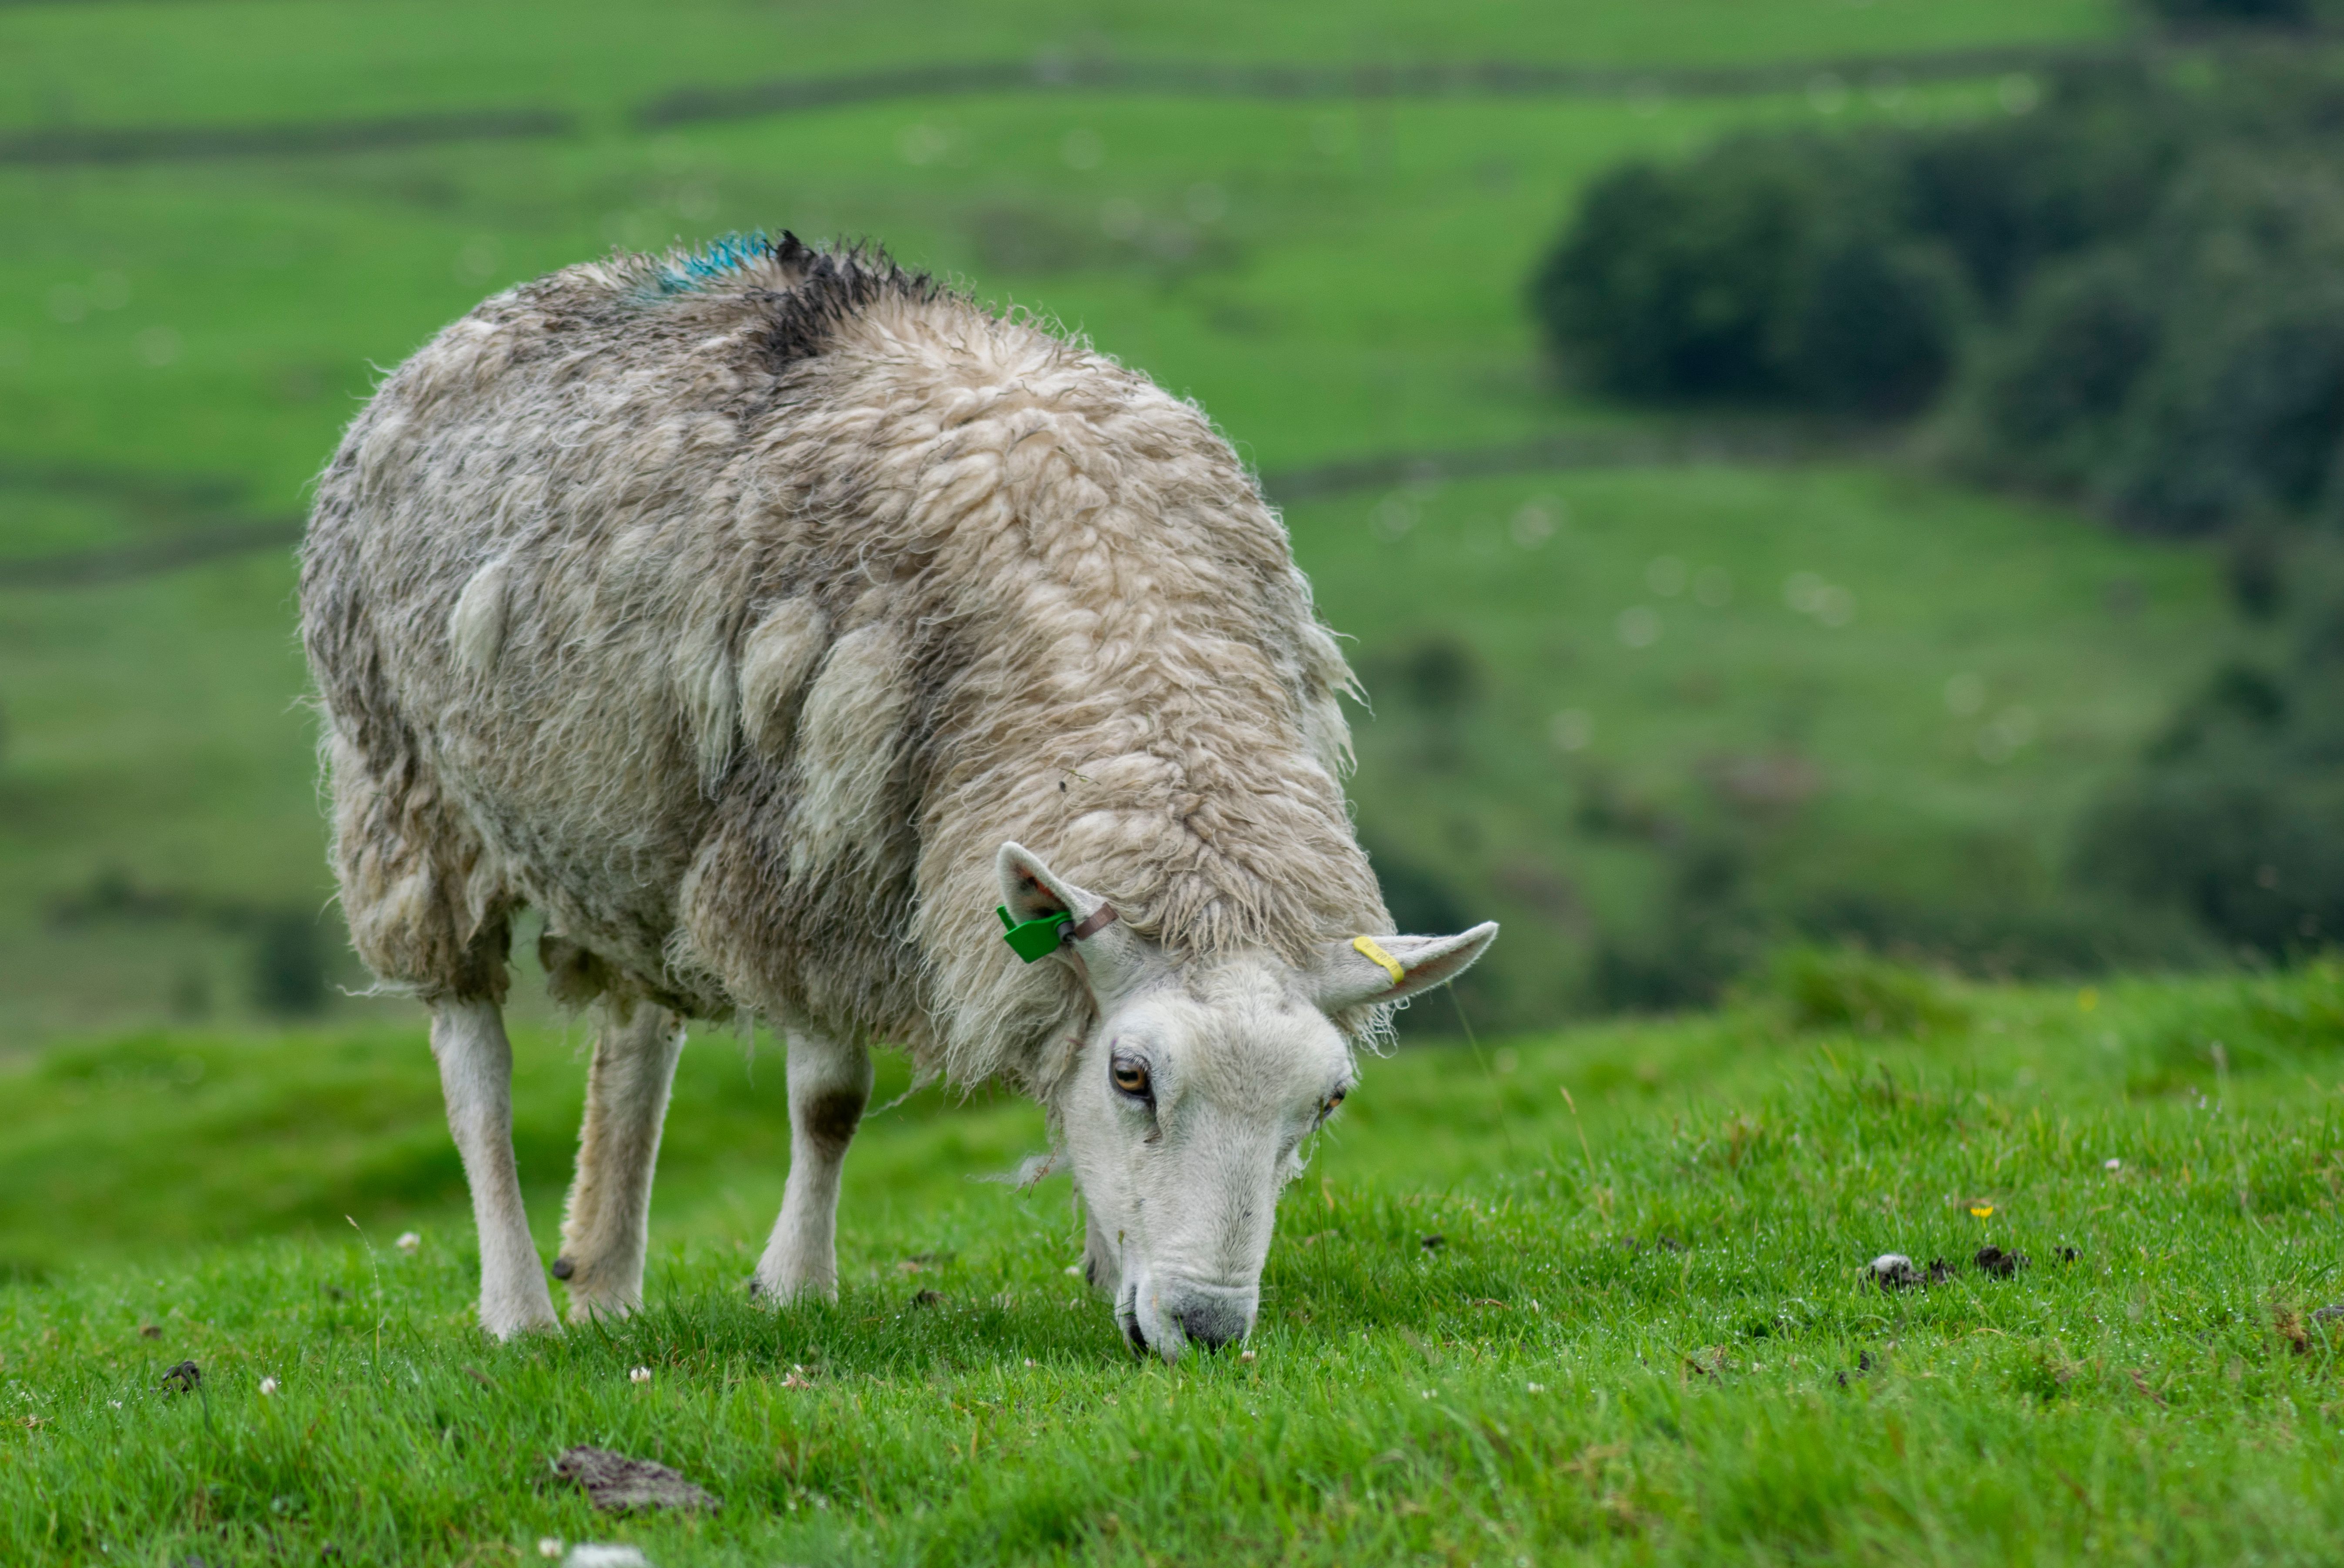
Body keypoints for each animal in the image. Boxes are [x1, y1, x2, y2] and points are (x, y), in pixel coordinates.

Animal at [298, 233, 1495, 1358]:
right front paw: (797, 1287)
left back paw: (603, 1279)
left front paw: (1106, 1264)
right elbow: (829, 1100)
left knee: (636, 1038)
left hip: (627, 823)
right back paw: (520, 1309)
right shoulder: (812, 852)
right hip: (407, 791)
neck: (1117, 608)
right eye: (1133, 1076)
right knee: (476, 1076)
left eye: (1326, 1100)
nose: (1202, 1326)